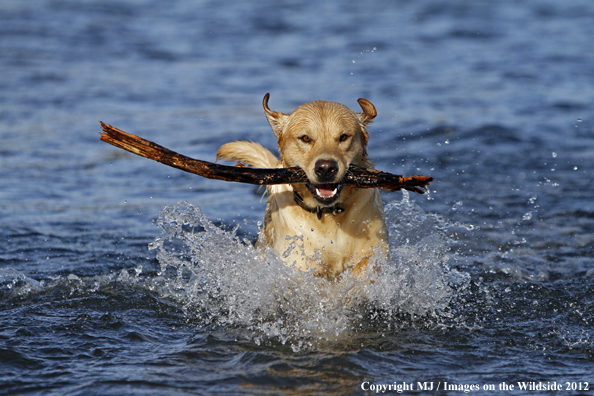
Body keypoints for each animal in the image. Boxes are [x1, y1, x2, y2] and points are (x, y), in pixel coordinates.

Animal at [215, 93, 386, 278]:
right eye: (305, 138)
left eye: (343, 137)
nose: (326, 168)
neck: (326, 214)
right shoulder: (296, 260)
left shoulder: (374, 249)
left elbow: (364, 265)